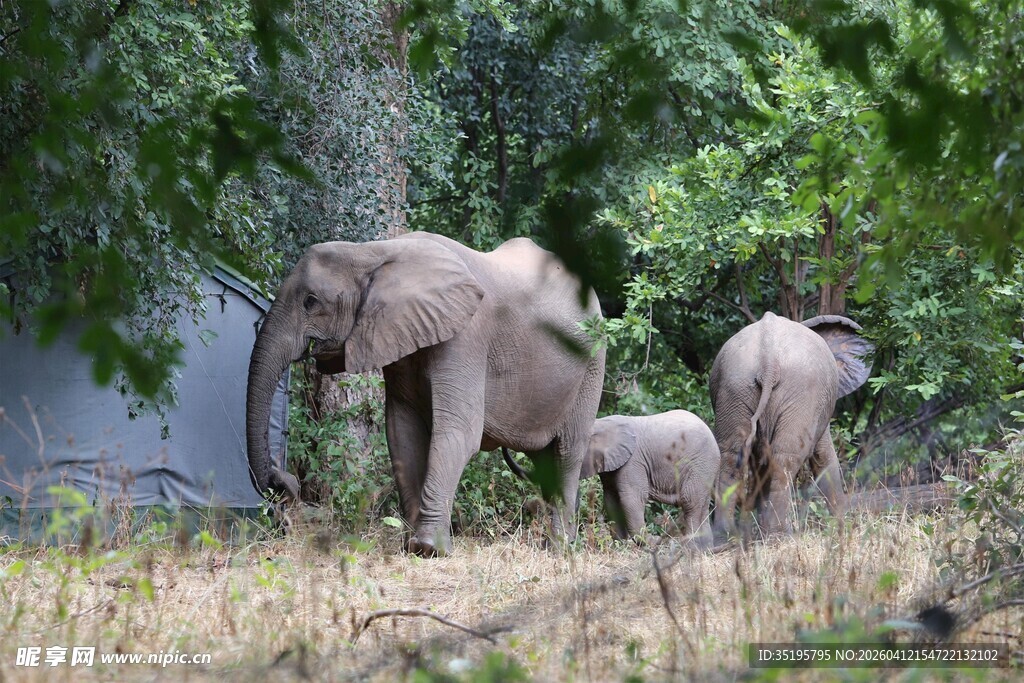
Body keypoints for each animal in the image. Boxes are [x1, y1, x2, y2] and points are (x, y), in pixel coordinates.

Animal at [246, 231, 606, 556]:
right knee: (545, 459)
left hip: (592, 364)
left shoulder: (466, 336)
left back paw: (559, 550)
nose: (284, 483)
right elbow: (402, 433)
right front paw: (409, 546)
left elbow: (458, 433)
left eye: (311, 301)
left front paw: (429, 549)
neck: (373, 252)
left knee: (566, 452)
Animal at [503, 410, 721, 547]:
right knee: (700, 505)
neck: (599, 424)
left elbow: (631, 498)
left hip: (700, 464)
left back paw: (690, 546)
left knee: (690, 502)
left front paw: (649, 543)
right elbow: (611, 499)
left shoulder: (633, 461)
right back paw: (704, 547)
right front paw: (621, 543)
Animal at [710, 311, 873, 538]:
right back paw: (780, 534)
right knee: (786, 457)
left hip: (734, 387)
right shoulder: (816, 405)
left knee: (731, 454)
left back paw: (725, 535)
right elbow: (824, 457)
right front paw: (843, 526)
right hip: (801, 391)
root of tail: (768, 359)